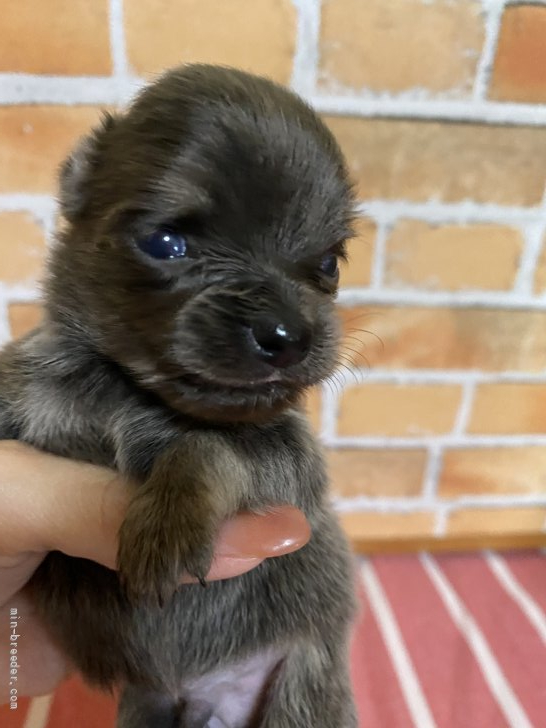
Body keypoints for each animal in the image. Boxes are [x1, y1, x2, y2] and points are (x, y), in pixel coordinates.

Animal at [0, 65, 356, 724]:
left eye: (328, 264)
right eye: (165, 244)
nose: (288, 334)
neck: (130, 392)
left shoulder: (289, 460)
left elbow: (206, 449)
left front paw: (168, 517)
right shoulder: (23, 390)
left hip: (302, 690)